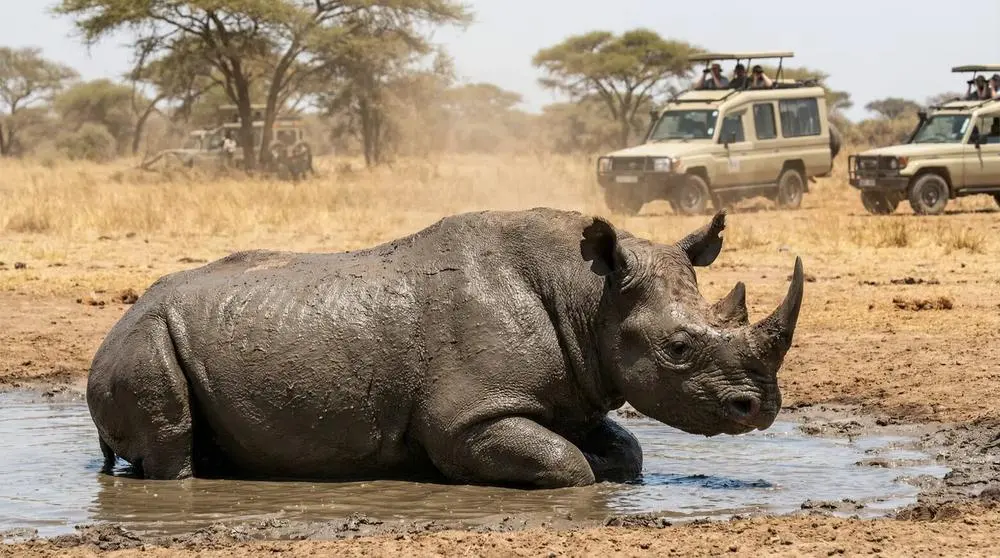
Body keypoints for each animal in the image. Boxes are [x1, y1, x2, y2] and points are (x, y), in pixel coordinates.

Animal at [87, 207, 804, 488]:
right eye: (678, 348)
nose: (760, 408)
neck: (589, 296)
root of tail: (114, 325)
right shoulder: (467, 416)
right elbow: (567, 465)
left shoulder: (575, 390)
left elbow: (624, 450)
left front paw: (612, 465)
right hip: (142, 339)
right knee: (170, 436)